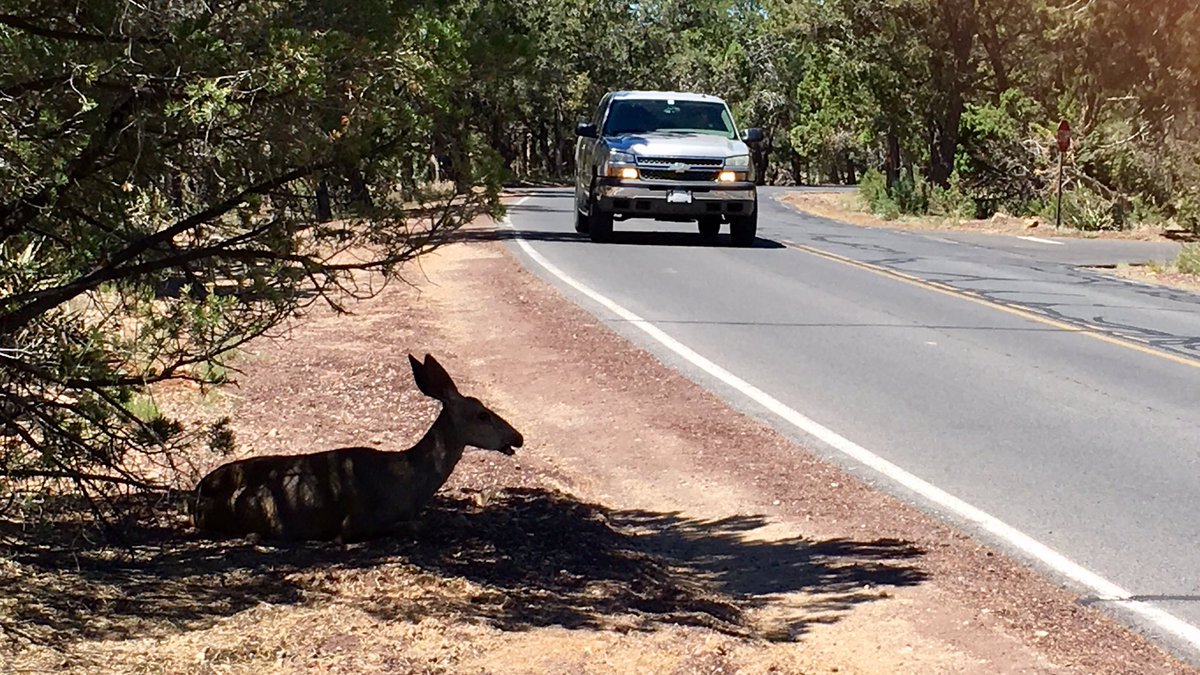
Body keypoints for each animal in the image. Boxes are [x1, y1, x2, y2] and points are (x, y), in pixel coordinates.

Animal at [191, 353, 524, 543]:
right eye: (482, 414)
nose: (518, 437)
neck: (408, 480)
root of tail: (197, 494)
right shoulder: (356, 522)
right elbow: (409, 526)